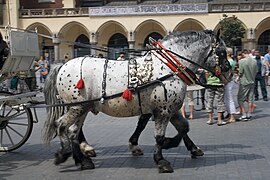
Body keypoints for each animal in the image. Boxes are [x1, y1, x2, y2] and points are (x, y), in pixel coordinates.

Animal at [43, 30, 231, 173]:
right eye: (222, 52)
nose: (229, 71)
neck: (168, 66)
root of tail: (62, 65)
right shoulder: (163, 110)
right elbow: (159, 136)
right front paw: (161, 160)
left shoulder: (171, 108)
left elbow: (183, 127)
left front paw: (183, 146)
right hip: (77, 106)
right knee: (61, 125)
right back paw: (64, 154)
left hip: (82, 107)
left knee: (73, 131)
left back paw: (82, 160)